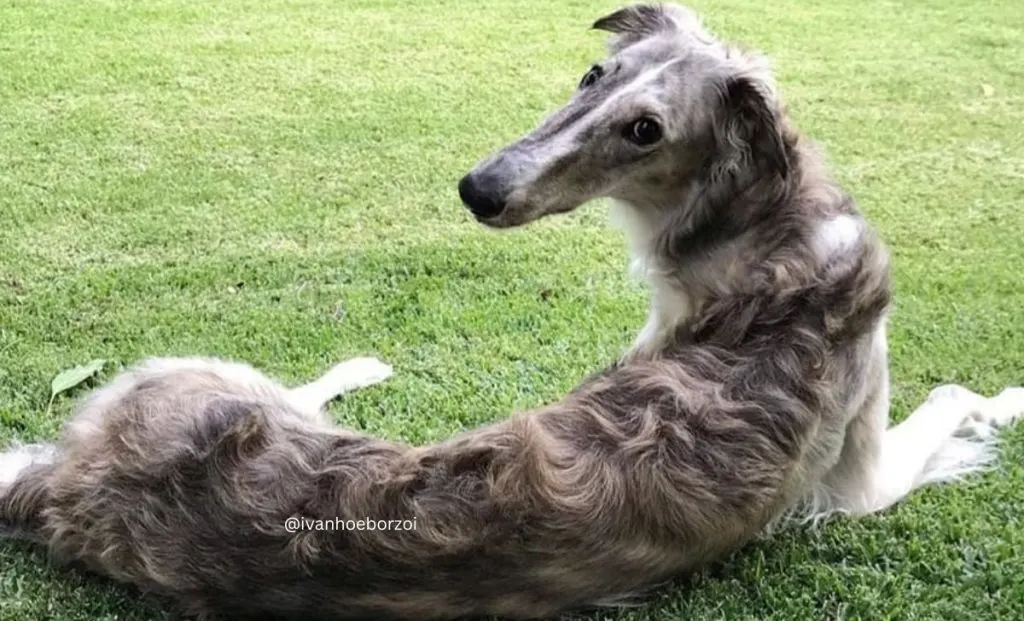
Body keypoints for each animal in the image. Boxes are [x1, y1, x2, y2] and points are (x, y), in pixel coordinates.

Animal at [2, 4, 1024, 621]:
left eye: (646, 129)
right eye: (591, 73)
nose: (476, 189)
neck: (774, 233)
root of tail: (64, 484)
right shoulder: (864, 479)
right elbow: (957, 391)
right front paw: (1009, 401)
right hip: (213, 376)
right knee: (301, 384)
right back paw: (360, 366)